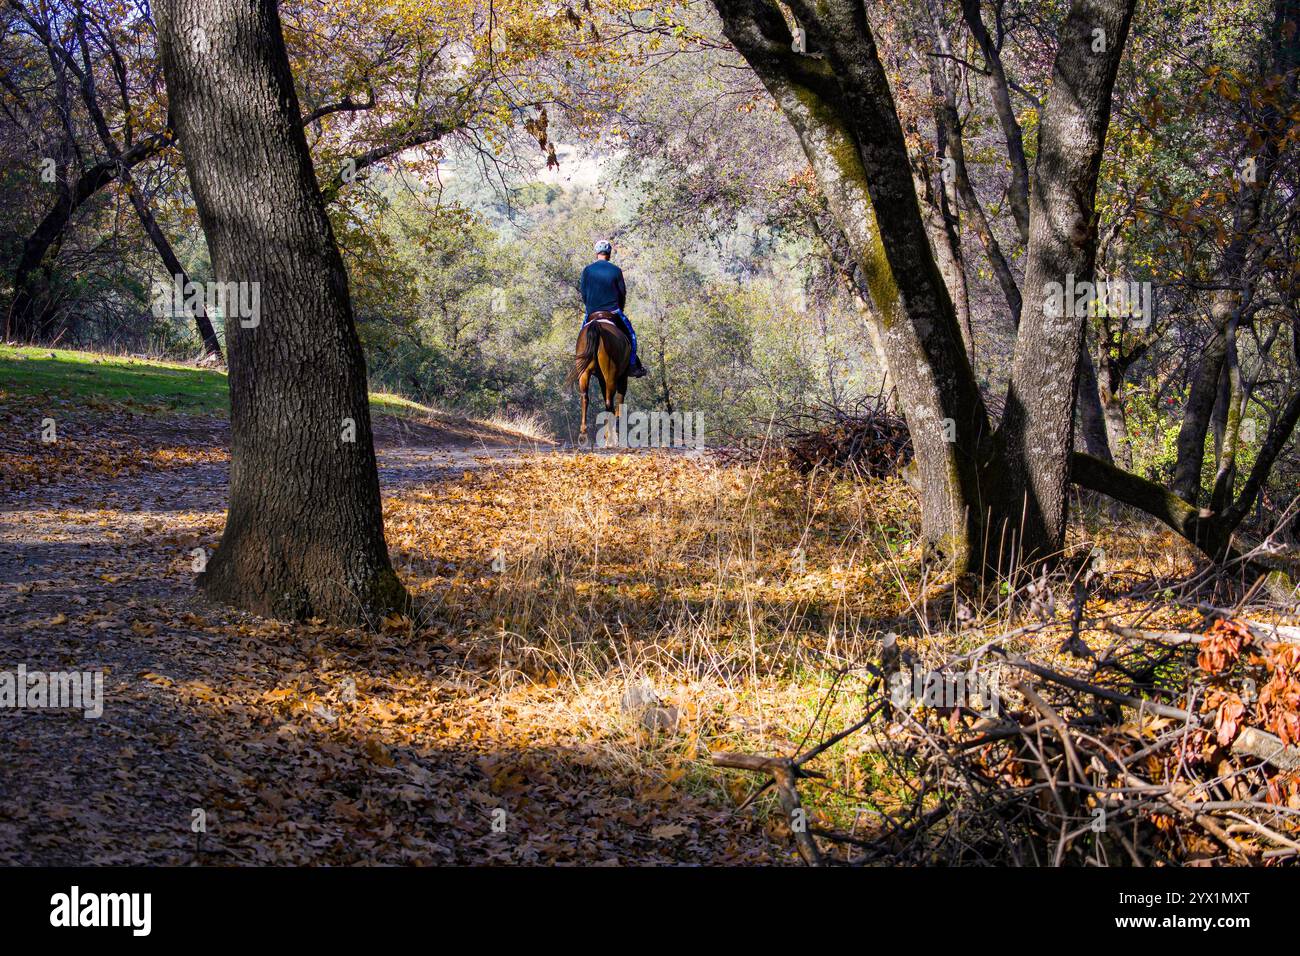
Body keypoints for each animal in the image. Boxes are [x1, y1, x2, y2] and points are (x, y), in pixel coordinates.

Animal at [566, 311, 631, 447]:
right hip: (611, 375)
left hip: (584, 373)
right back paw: (610, 438)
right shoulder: (623, 378)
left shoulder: (601, 379)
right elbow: (620, 403)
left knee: (585, 398)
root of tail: (597, 325)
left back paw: (584, 434)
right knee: (609, 403)